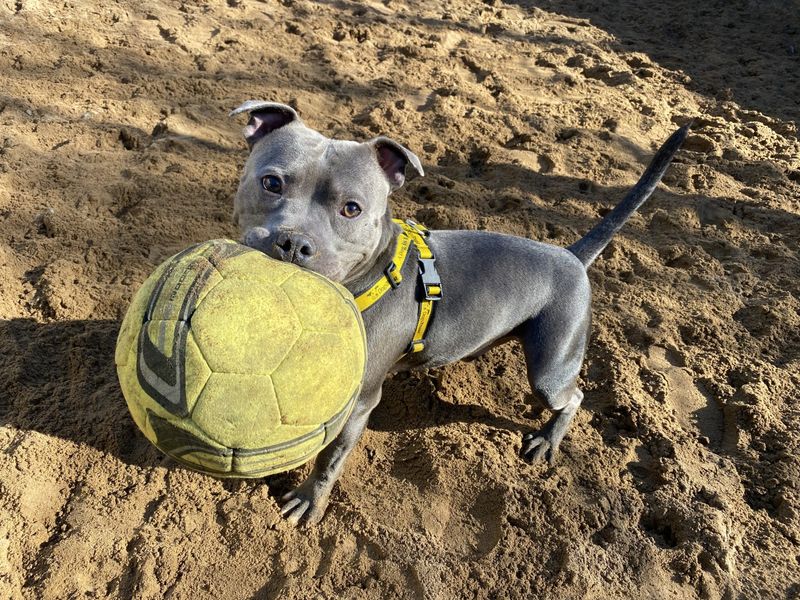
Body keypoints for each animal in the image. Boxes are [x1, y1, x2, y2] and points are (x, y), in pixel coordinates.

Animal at [228, 102, 684, 524]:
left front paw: (310, 500)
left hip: (551, 370)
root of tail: (570, 256)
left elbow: (330, 459)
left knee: (574, 397)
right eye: (271, 183)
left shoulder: (360, 401)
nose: (292, 243)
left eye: (352, 209)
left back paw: (548, 440)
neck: (371, 275)